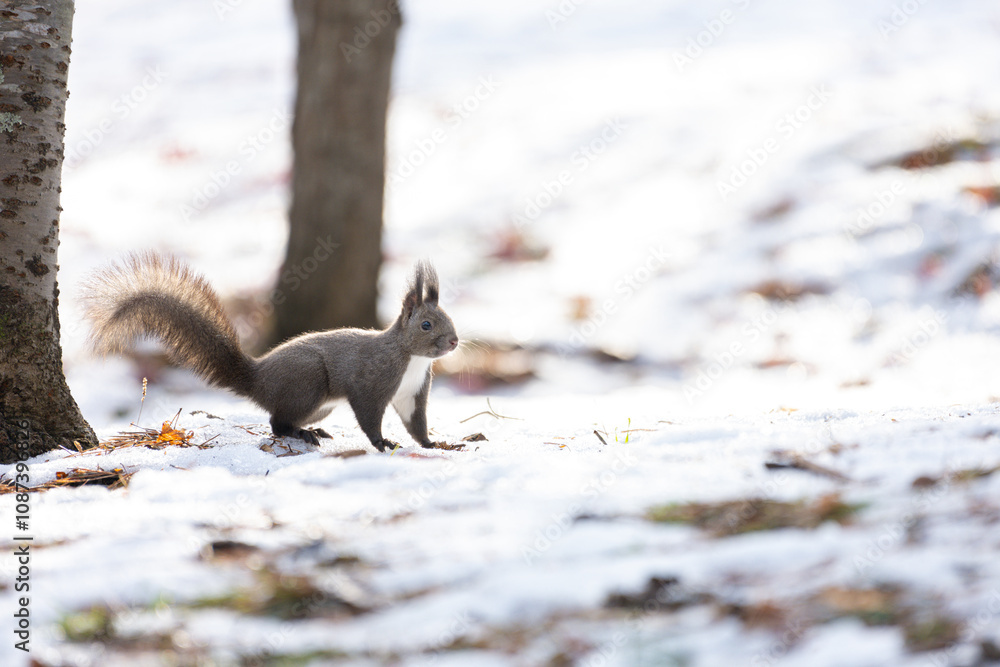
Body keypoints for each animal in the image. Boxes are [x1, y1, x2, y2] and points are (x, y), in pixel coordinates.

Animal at [81, 253, 459, 452]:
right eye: (426, 325)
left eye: (449, 318)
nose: (454, 342)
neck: (412, 359)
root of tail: (257, 378)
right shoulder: (371, 381)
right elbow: (368, 416)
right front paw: (382, 444)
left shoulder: (412, 392)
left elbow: (416, 422)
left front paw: (433, 445)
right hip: (308, 383)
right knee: (276, 424)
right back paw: (303, 435)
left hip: (319, 404)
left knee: (282, 420)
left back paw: (313, 431)